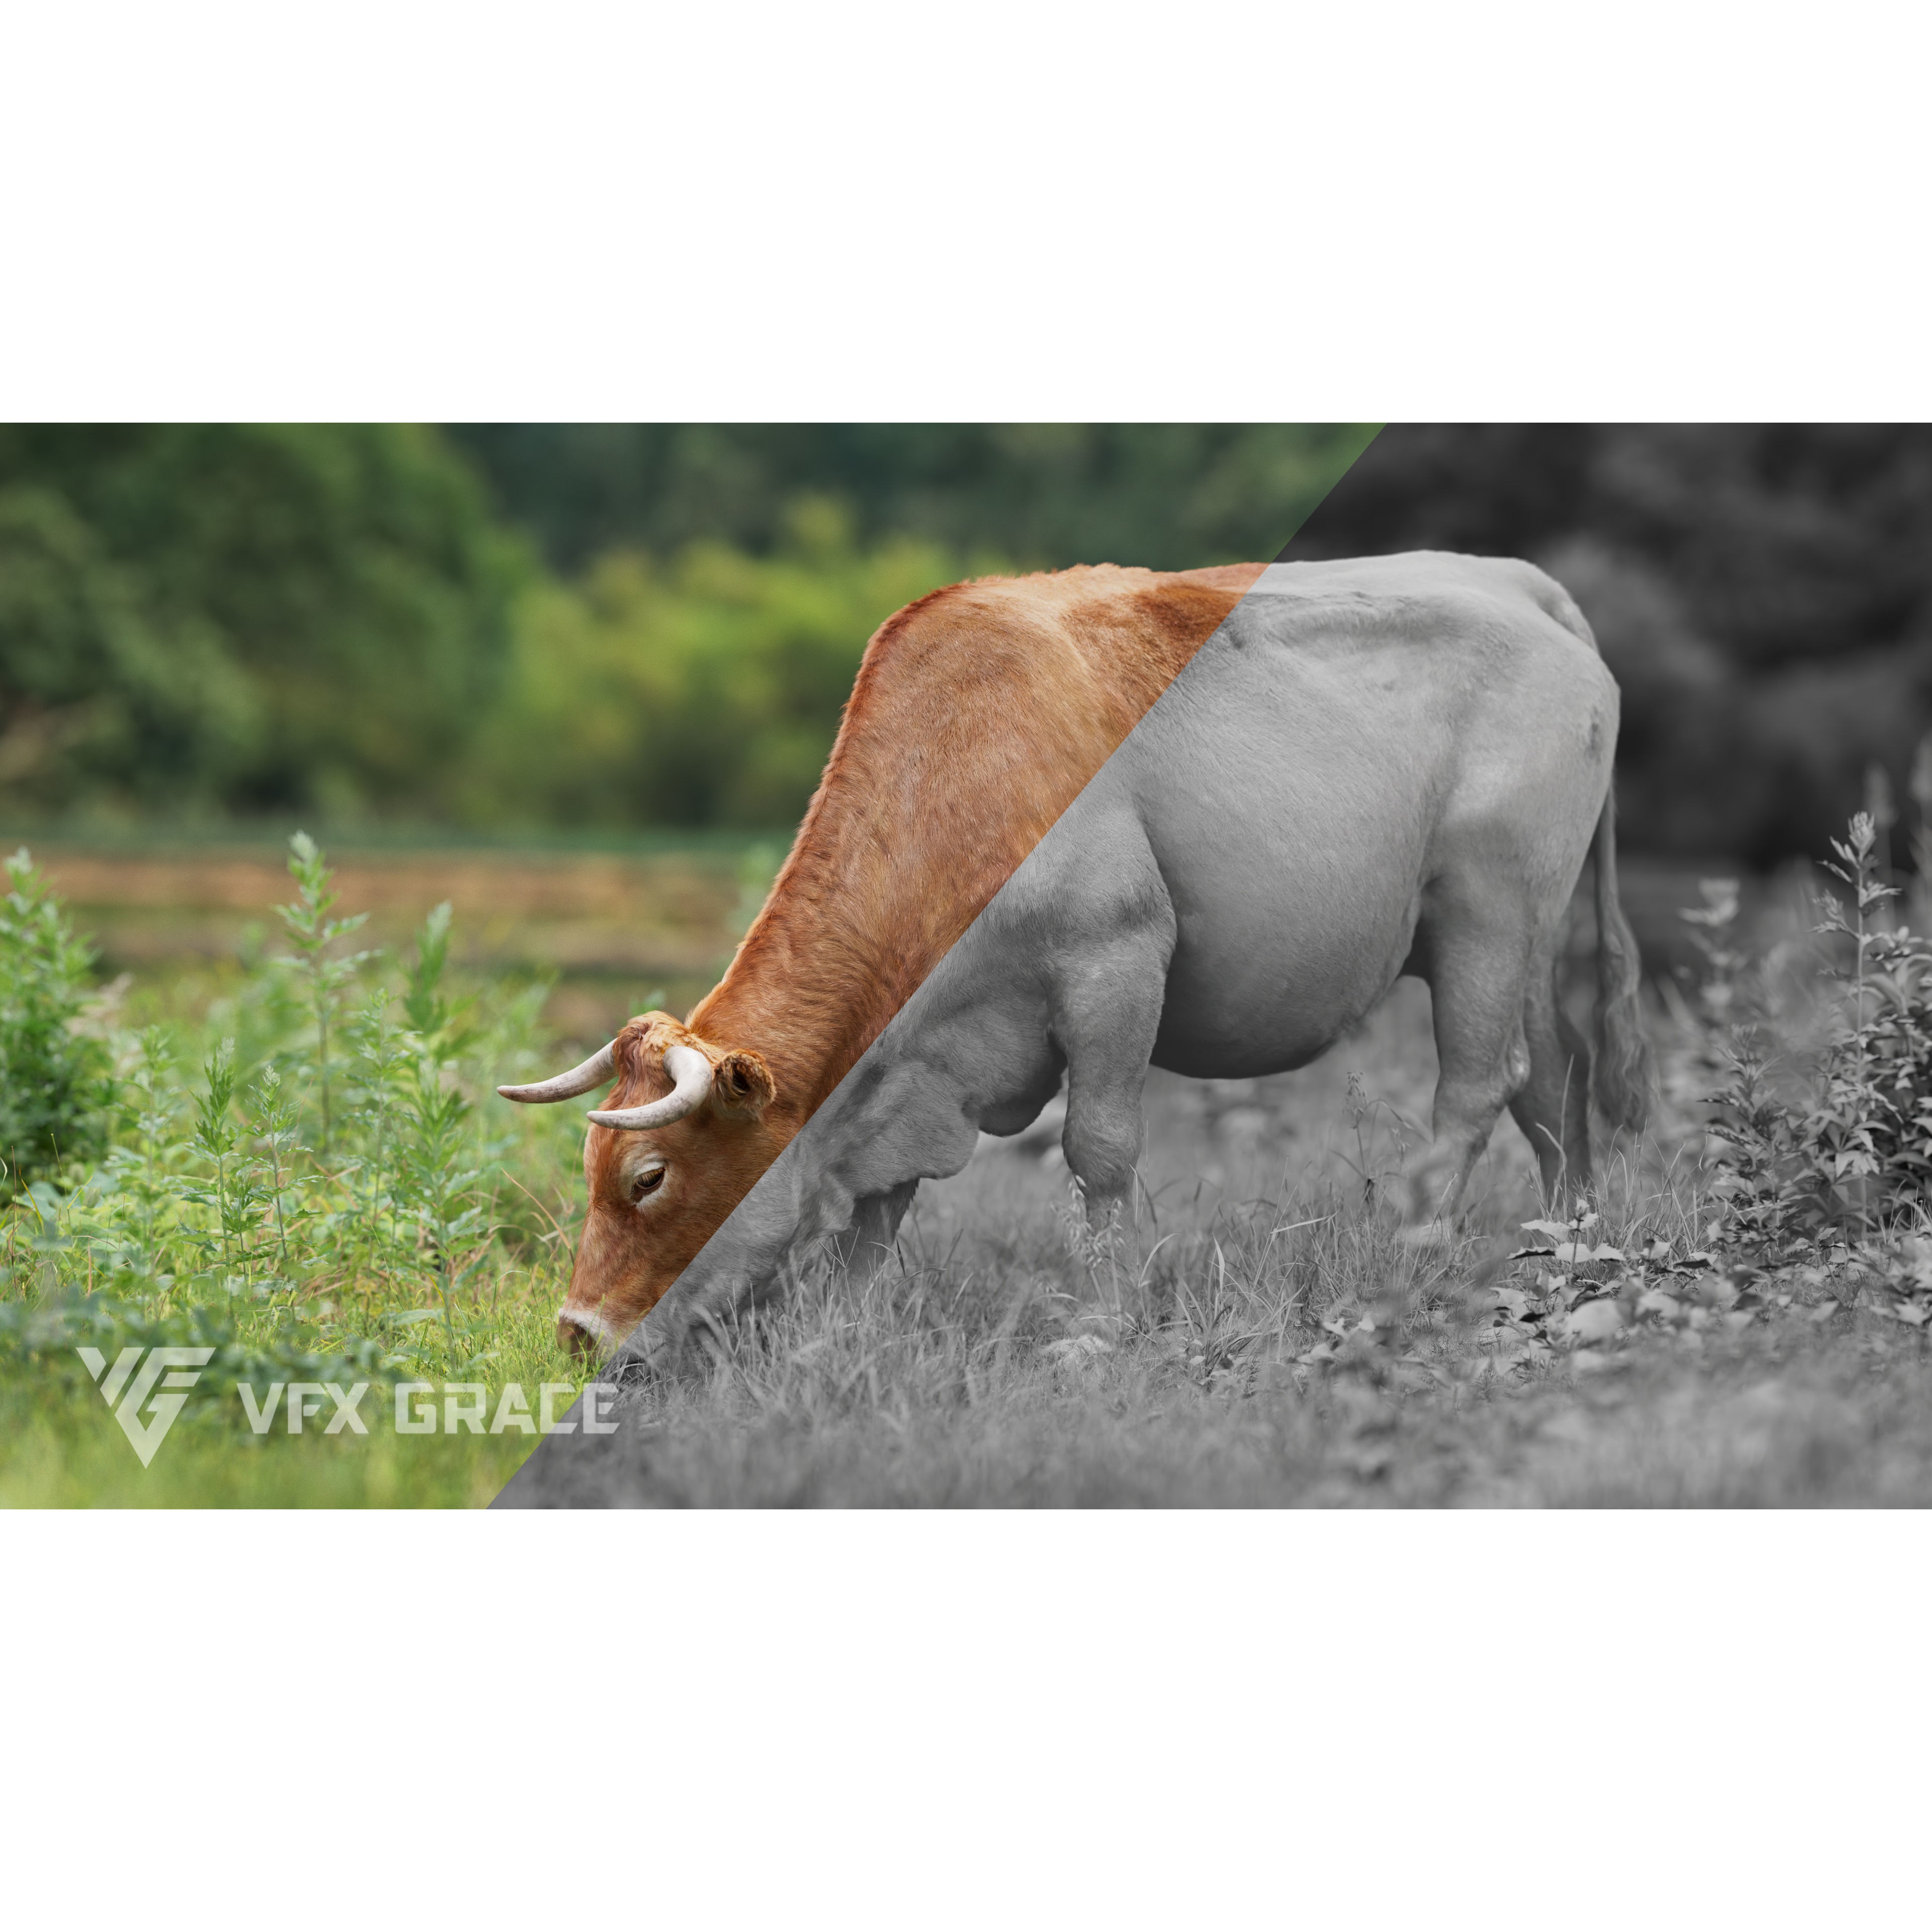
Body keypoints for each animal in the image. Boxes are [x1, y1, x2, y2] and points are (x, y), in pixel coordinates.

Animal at [504, 552, 1652, 1374]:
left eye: (649, 1178)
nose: (574, 1336)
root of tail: (1520, 583)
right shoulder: (908, 1073)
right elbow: (878, 1204)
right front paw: (837, 1332)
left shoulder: (1118, 961)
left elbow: (1096, 1153)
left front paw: (1103, 1328)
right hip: (1522, 935)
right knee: (1552, 1079)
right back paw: (1568, 1250)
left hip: (1487, 911)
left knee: (1476, 1089)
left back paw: (1413, 1257)